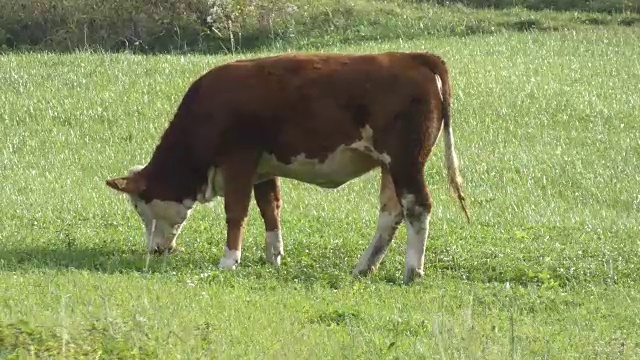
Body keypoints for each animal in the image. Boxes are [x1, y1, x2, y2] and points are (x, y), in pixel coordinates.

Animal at [105, 50, 470, 284]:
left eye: (139, 207)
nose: (154, 251)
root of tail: (413, 56)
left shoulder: (239, 160)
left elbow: (236, 212)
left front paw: (229, 261)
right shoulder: (263, 169)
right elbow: (270, 209)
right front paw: (273, 256)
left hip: (406, 161)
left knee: (417, 207)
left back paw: (412, 271)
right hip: (389, 166)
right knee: (390, 213)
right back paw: (364, 267)